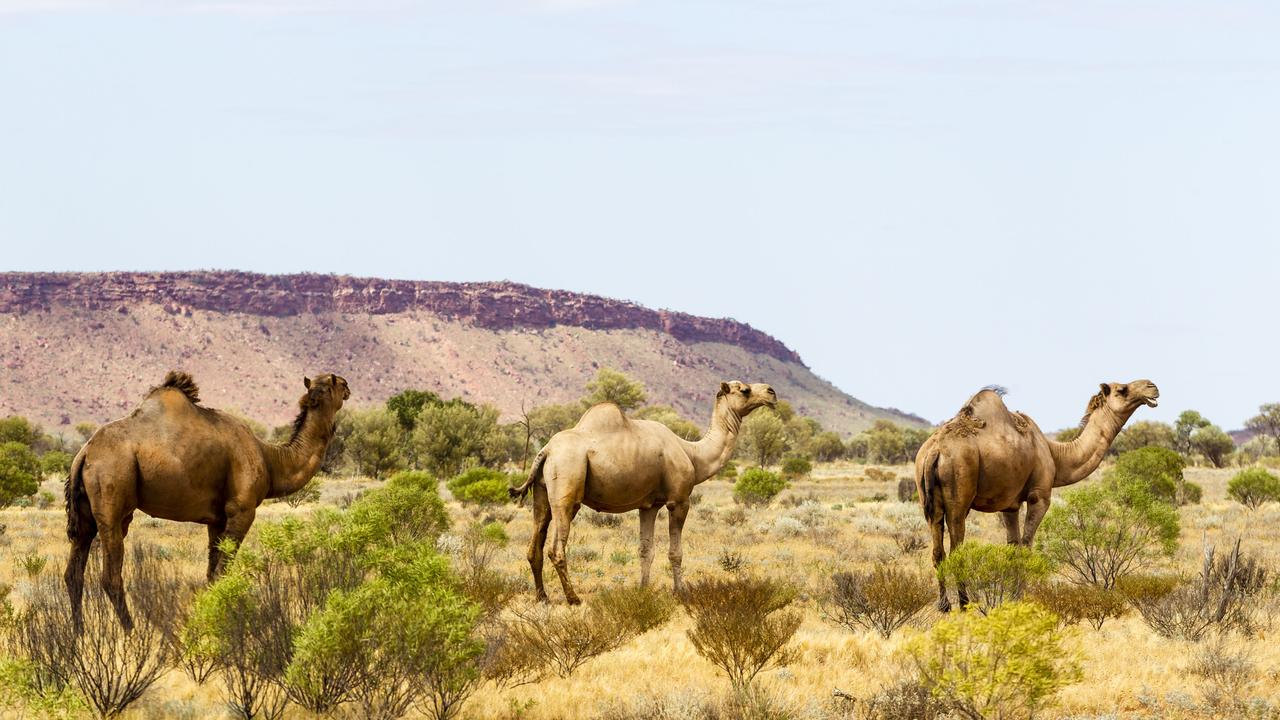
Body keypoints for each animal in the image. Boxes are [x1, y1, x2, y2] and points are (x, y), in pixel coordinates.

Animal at [63, 368, 348, 627]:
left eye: (328, 384)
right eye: (336, 383)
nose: (348, 387)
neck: (270, 459)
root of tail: (85, 453)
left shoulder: (217, 519)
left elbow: (212, 573)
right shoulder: (242, 510)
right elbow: (223, 571)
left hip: (88, 511)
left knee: (74, 571)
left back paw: (78, 634)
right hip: (111, 491)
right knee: (110, 575)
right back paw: (130, 633)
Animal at [506, 379, 768, 602]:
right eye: (744, 390)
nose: (771, 392)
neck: (693, 454)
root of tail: (546, 450)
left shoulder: (649, 506)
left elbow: (646, 550)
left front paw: (644, 590)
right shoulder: (679, 501)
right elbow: (675, 552)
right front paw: (680, 592)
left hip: (541, 492)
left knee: (536, 542)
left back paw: (543, 597)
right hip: (566, 483)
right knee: (556, 548)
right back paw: (574, 598)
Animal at [911, 379, 1162, 607]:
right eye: (1122, 389)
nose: (1152, 387)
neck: (1056, 454)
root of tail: (934, 451)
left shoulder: (1009, 505)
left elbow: (1013, 547)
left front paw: (1009, 597)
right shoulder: (1039, 497)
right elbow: (1026, 546)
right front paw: (1019, 598)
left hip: (929, 500)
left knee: (937, 550)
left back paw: (944, 605)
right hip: (959, 492)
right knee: (956, 547)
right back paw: (964, 603)